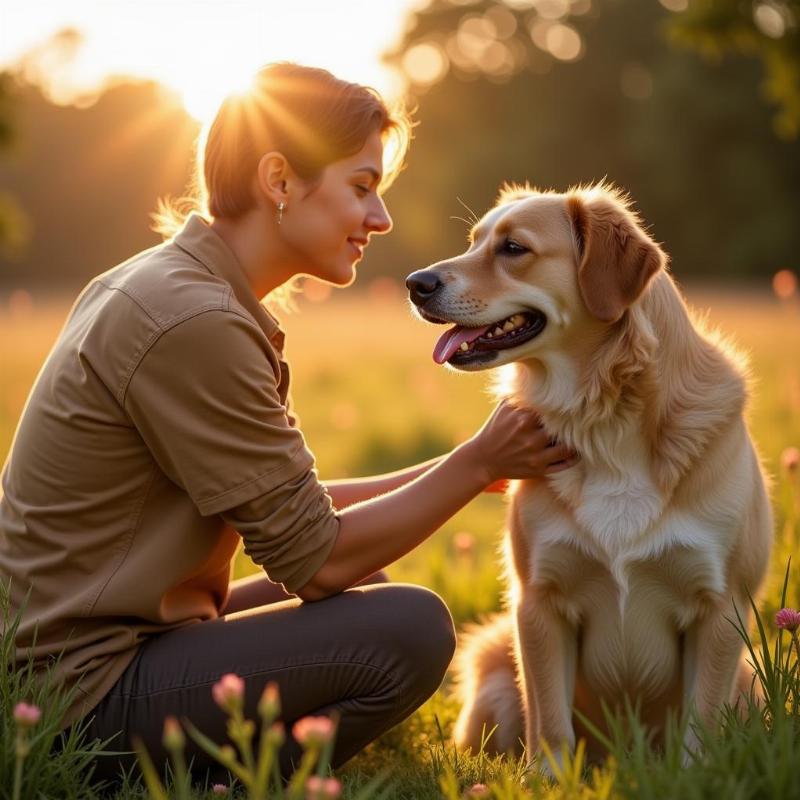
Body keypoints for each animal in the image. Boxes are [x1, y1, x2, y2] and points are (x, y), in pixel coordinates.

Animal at [410, 184, 772, 772]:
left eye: (513, 248)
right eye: (474, 242)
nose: (415, 284)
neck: (606, 420)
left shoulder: (721, 610)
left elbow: (700, 725)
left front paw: (692, 777)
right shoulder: (539, 601)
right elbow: (550, 721)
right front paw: (551, 780)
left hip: (749, 682)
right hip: (494, 671)